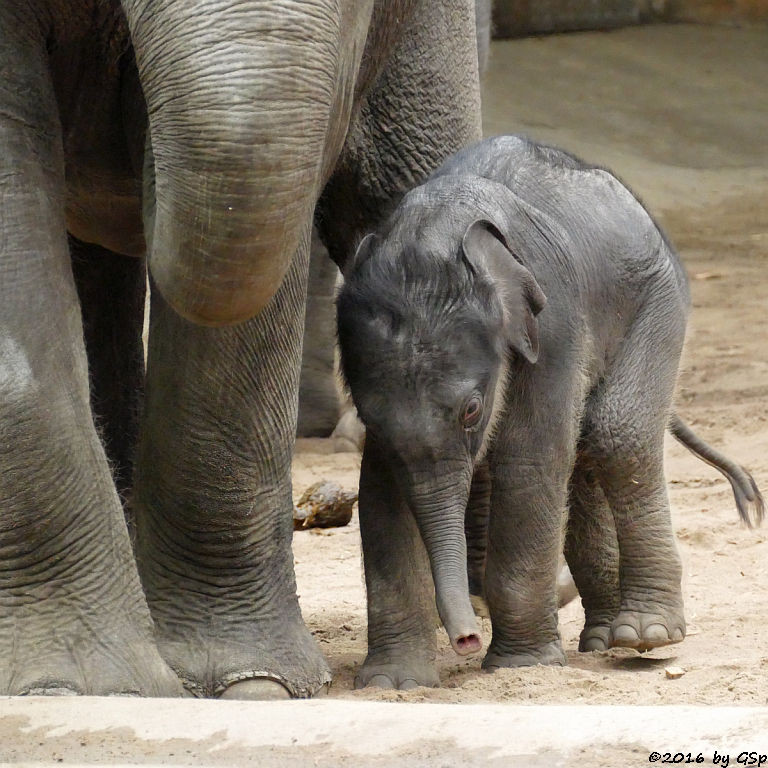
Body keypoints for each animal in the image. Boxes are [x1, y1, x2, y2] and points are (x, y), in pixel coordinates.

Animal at [336, 134, 760, 688]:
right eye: (367, 413)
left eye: (472, 410)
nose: (466, 640)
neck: (436, 232)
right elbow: (382, 490)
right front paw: (394, 683)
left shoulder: (553, 319)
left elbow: (529, 460)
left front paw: (522, 664)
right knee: (586, 453)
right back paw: (602, 639)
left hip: (659, 299)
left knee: (615, 434)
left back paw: (645, 637)